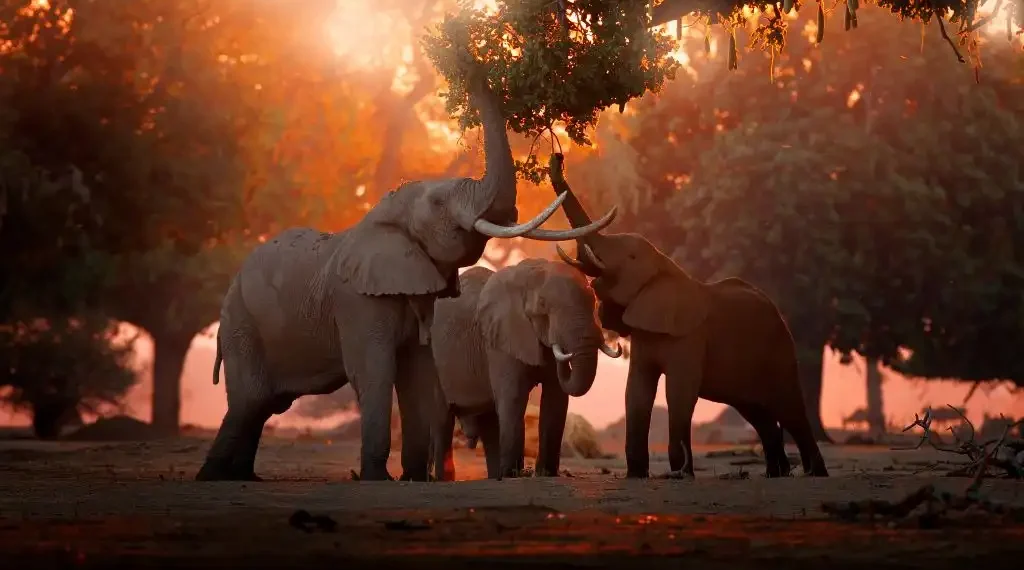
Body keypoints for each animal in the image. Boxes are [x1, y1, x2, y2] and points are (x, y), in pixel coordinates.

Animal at [428, 258, 618, 480]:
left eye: (594, 303)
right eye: (543, 304)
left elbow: (556, 399)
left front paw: (546, 474)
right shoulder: (500, 341)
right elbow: (514, 397)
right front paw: (515, 474)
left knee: (488, 421)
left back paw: (496, 476)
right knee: (443, 419)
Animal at [548, 153, 827, 476]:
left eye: (631, 256)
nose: (558, 157)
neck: (665, 266)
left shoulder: (690, 337)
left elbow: (679, 392)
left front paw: (681, 474)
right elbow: (636, 392)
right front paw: (637, 476)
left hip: (780, 350)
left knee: (791, 410)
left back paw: (815, 473)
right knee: (759, 414)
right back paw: (776, 474)